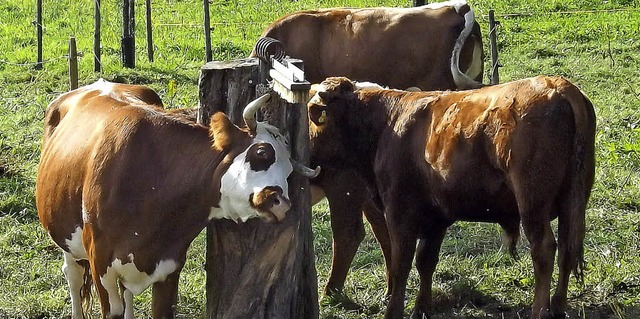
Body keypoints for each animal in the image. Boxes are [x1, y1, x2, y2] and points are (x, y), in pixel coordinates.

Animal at [35, 80, 316, 319]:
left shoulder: (169, 267)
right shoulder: (101, 265)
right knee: (73, 275)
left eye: (289, 174)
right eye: (261, 152)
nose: (281, 203)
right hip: (68, 240)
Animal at [308, 75, 596, 319]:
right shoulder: (436, 218)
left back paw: (540, 310)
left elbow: (401, 264)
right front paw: (422, 308)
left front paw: (394, 311)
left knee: (544, 249)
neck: (387, 123)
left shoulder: (400, 212)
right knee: (567, 249)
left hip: (532, 203)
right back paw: (558, 306)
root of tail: (558, 86)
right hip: (573, 202)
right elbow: (425, 261)